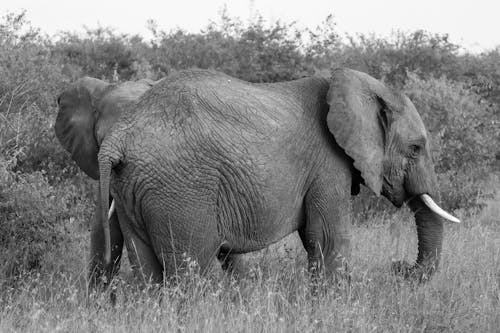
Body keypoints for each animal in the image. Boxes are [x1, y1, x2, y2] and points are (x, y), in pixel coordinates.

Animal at [53, 67, 458, 286]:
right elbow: (326, 239)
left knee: (150, 269)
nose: (399, 267)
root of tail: (121, 136)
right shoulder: (328, 164)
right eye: (416, 148)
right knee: (191, 268)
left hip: (134, 187)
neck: (352, 84)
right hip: (180, 190)